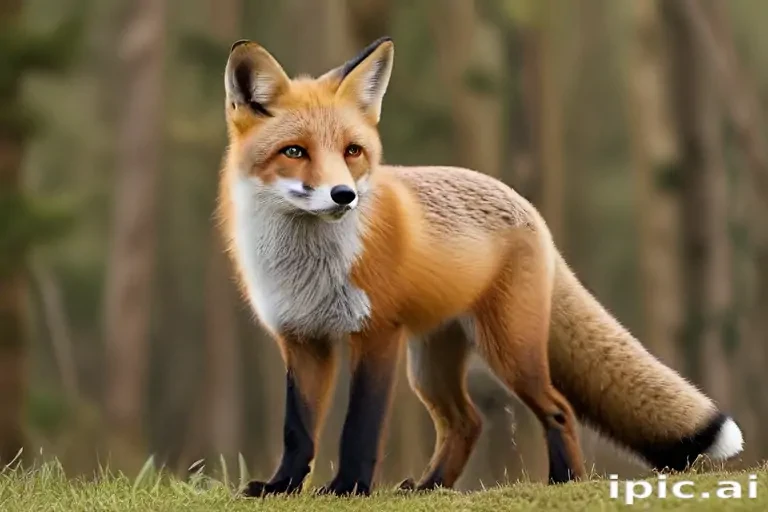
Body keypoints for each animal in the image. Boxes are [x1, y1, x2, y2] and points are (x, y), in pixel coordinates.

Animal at [217, 36, 744, 497]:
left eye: (353, 151)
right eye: (294, 151)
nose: (343, 195)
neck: (307, 265)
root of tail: (524, 204)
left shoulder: (377, 334)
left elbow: (359, 427)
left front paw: (348, 488)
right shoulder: (303, 339)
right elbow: (298, 429)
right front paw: (281, 487)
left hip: (509, 351)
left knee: (558, 408)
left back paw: (564, 481)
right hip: (430, 365)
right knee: (466, 422)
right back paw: (429, 487)